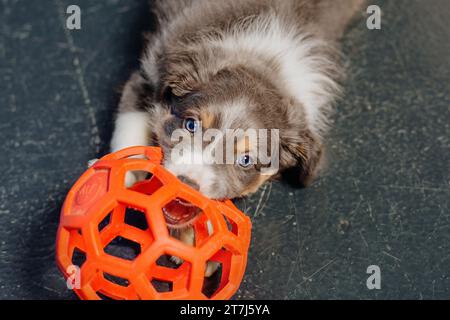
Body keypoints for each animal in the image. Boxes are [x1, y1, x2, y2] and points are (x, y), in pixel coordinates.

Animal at [110, 0, 364, 276]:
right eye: (190, 125)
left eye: (245, 160)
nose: (187, 184)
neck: (265, 63)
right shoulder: (147, 75)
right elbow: (130, 128)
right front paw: (120, 177)